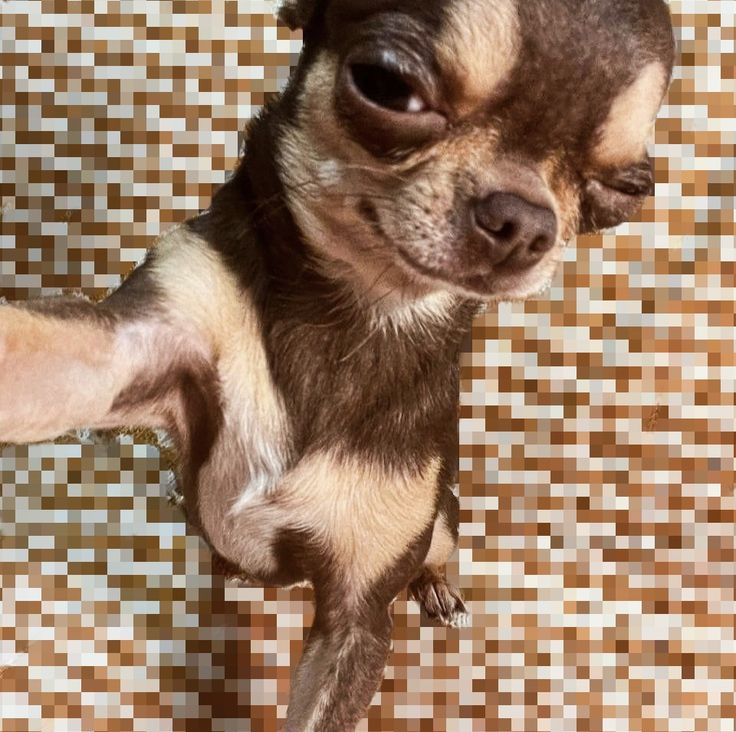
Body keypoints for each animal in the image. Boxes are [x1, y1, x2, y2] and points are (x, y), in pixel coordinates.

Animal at [0, 0, 676, 728]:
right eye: (386, 84)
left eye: (622, 190)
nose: (525, 222)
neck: (353, 315)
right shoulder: (141, 338)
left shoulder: (357, 619)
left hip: (442, 515)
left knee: (438, 548)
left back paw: (436, 586)